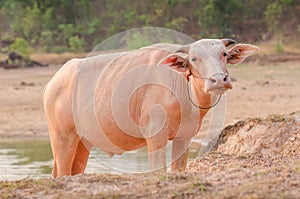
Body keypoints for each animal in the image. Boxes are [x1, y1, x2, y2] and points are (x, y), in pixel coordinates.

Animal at [43, 38, 258, 177]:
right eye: (194, 59)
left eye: (223, 54)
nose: (219, 80)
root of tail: (53, 82)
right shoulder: (155, 135)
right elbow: (159, 170)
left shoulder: (184, 137)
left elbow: (178, 169)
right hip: (62, 137)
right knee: (61, 174)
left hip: (82, 142)